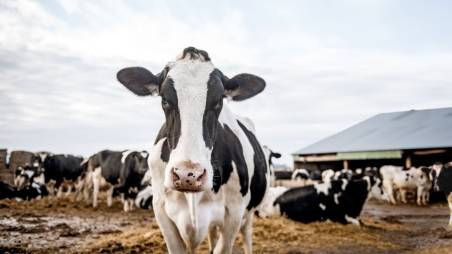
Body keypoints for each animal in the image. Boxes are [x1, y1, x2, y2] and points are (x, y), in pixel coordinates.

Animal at [117, 46, 272, 253]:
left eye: (219, 100)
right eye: (164, 99)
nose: (187, 175)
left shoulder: (234, 214)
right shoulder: (161, 210)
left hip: (249, 213)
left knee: (246, 235)